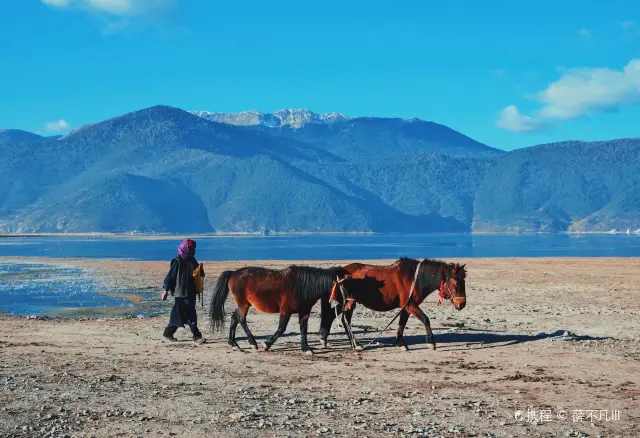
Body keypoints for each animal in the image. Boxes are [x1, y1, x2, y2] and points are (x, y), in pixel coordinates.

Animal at [208, 265, 353, 355]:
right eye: (344, 285)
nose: (348, 303)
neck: (301, 285)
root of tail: (233, 273)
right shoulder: (285, 311)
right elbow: (281, 328)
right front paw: (266, 344)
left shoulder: (304, 312)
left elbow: (303, 329)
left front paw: (306, 348)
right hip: (243, 305)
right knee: (241, 320)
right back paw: (252, 342)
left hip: (243, 305)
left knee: (234, 318)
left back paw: (233, 343)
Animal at [321, 257, 467, 351]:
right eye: (457, 282)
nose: (462, 304)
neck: (414, 279)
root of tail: (341, 271)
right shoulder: (410, 305)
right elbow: (426, 319)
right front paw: (431, 342)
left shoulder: (406, 306)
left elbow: (402, 324)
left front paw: (400, 343)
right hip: (349, 302)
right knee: (343, 319)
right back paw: (353, 343)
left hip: (349, 303)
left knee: (336, 317)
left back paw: (329, 339)